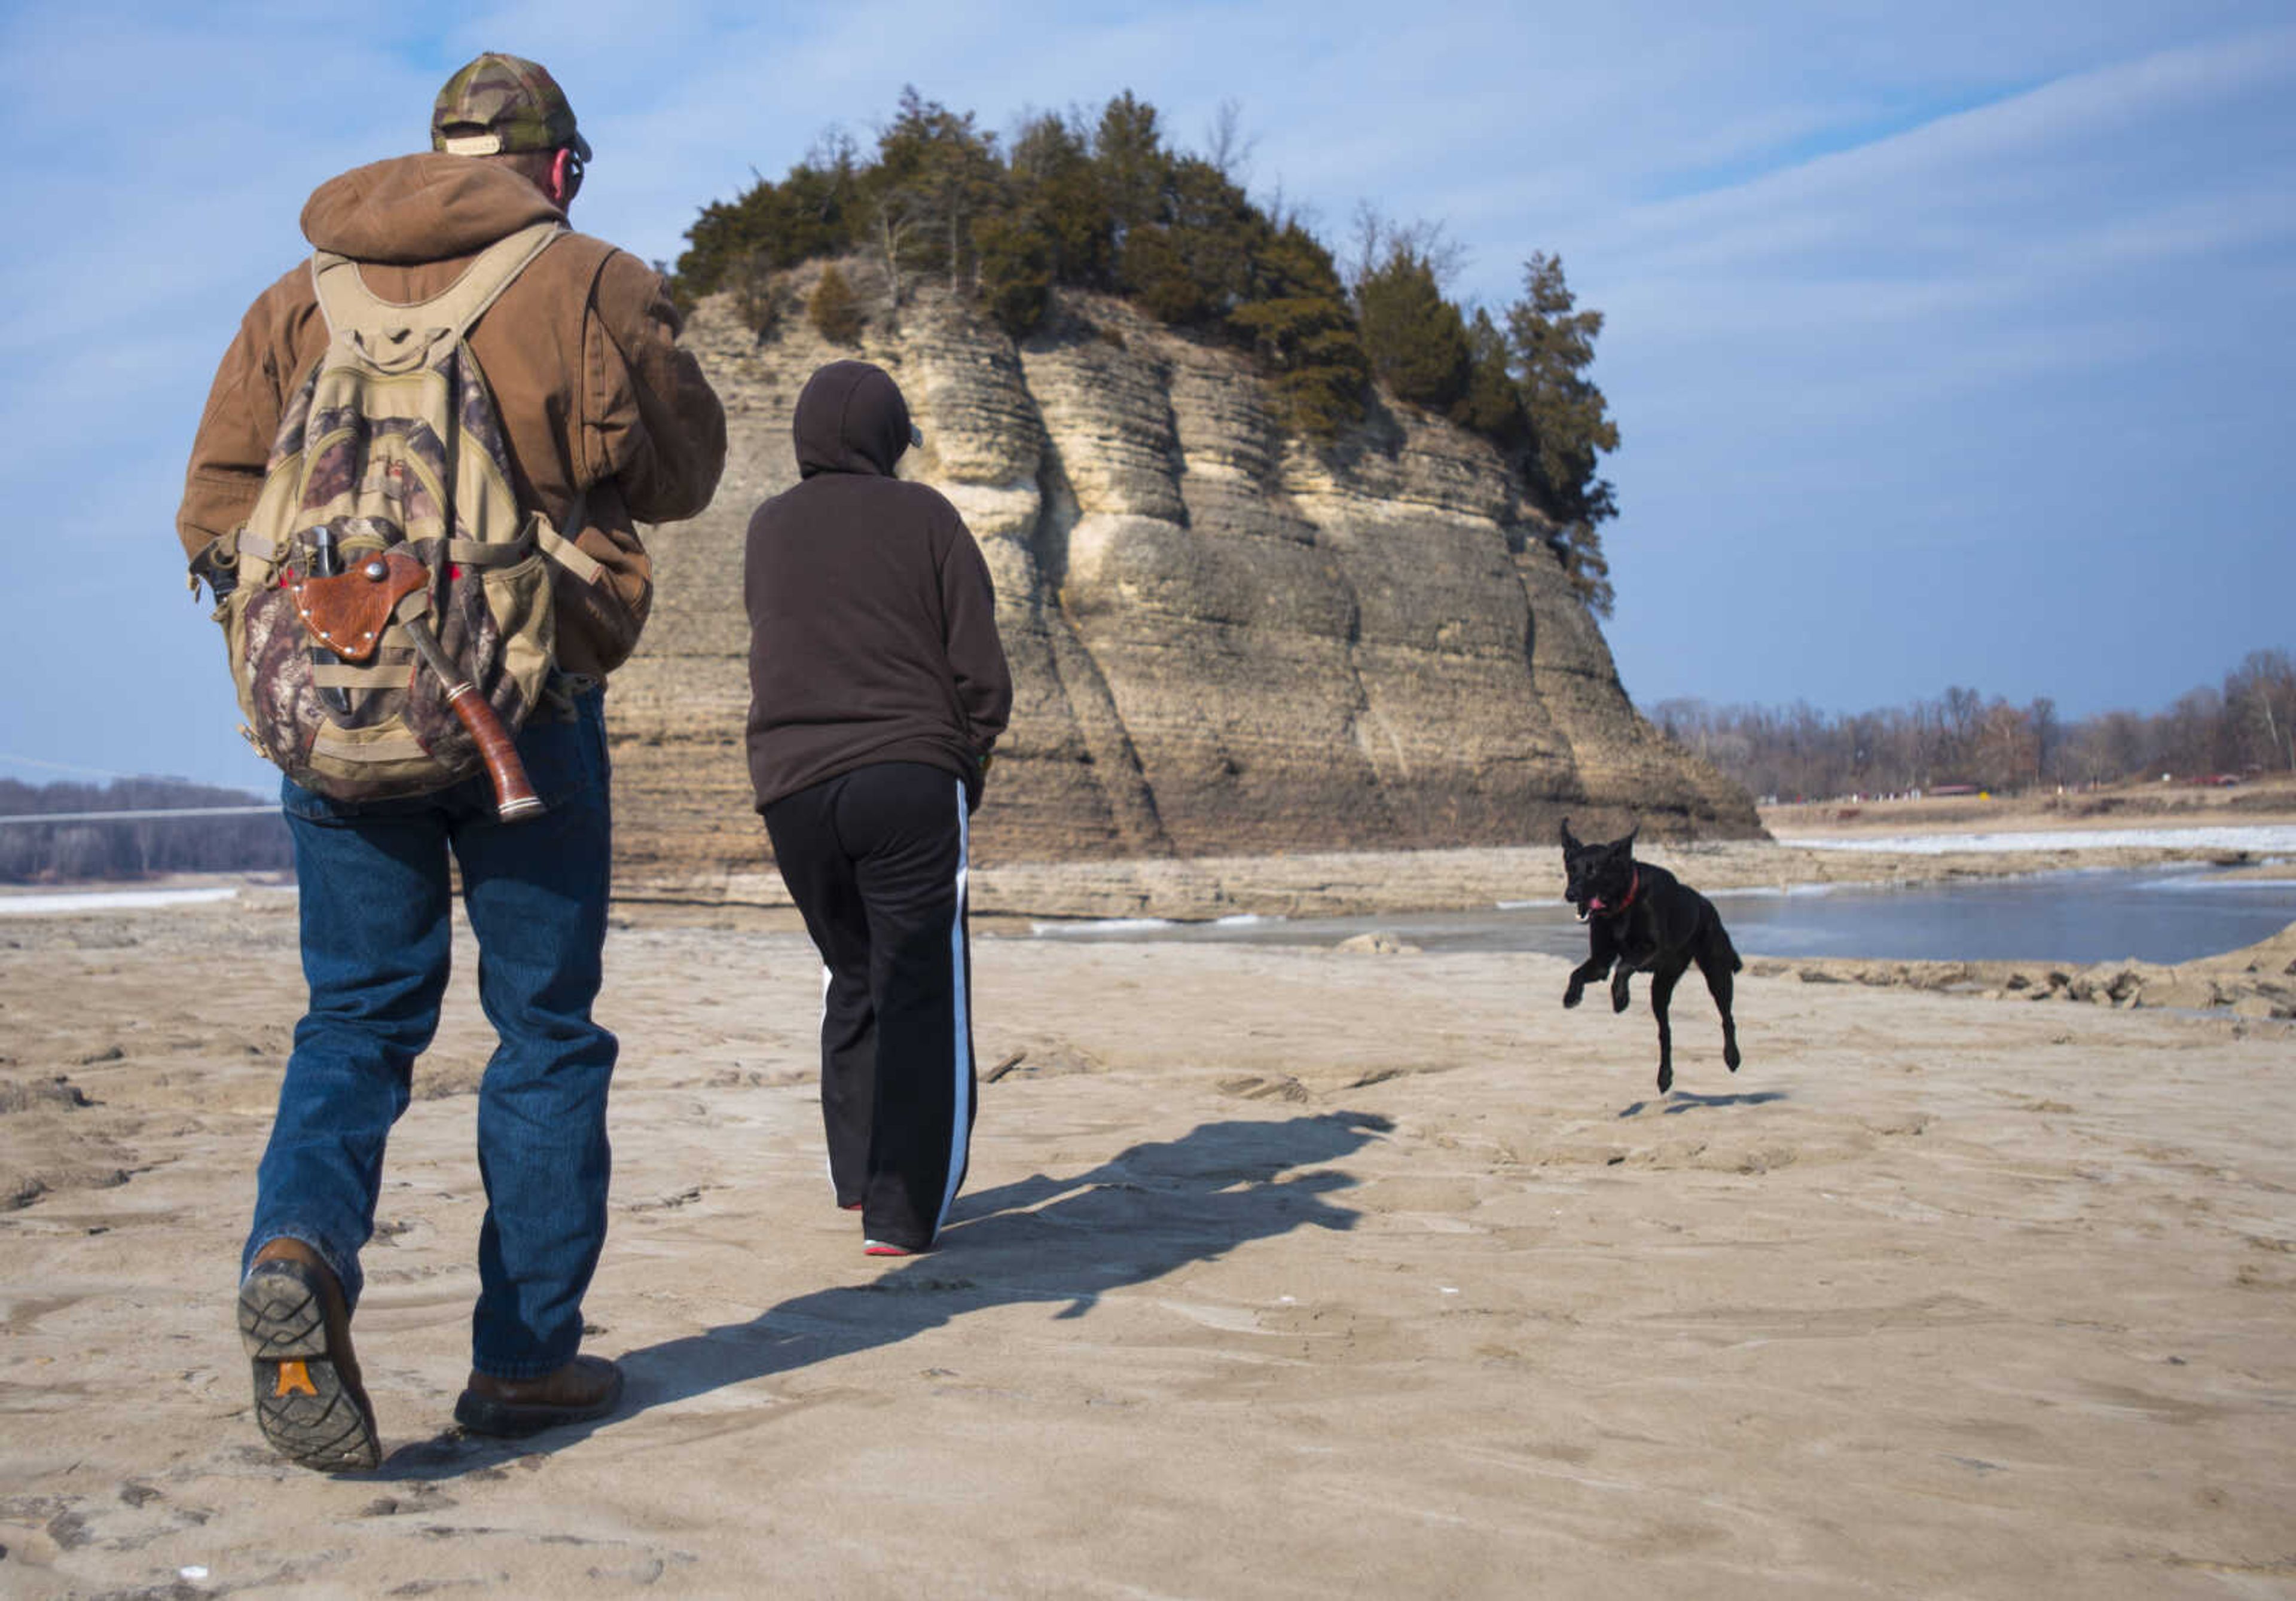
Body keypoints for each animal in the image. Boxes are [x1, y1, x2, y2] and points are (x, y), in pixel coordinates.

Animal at [1561, 817, 1736, 1093]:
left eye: (1593, 870)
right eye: (1571, 868)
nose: (1571, 894)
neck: (1622, 906)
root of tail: (1706, 904)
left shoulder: (1655, 950)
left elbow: (1624, 966)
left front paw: (1620, 998)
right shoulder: (1600, 962)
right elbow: (1578, 973)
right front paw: (1572, 996)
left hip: (1717, 973)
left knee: (1727, 1017)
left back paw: (1732, 1057)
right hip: (1662, 988)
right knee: (1665, 1032)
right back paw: (1665, 1077)